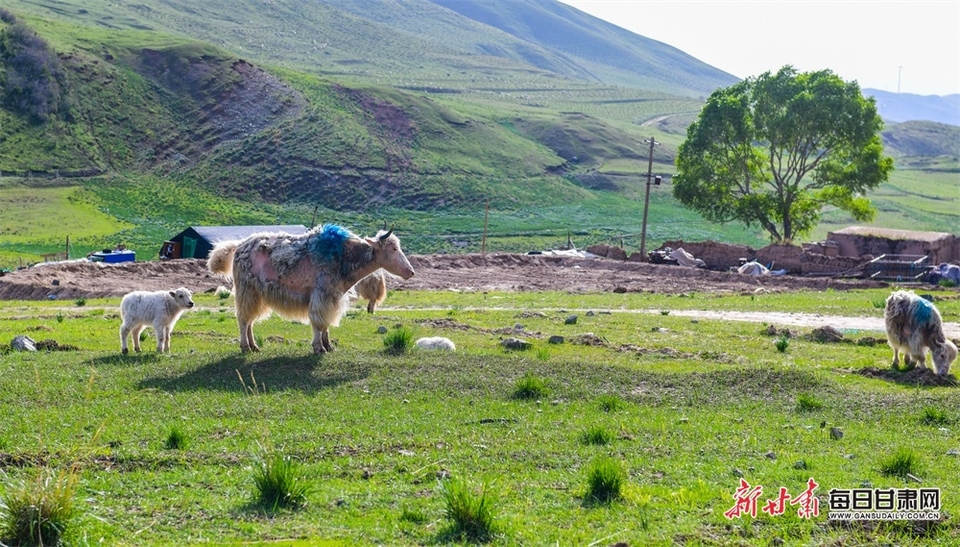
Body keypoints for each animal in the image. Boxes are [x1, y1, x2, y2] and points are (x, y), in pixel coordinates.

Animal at [208, 224, 414, 356]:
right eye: (394, 248)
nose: (410, 272)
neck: (344, 257)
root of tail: (239, 245)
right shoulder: (321, 295)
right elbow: (319, 322)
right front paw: (318, 348)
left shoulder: (332, 297)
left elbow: (327, 323)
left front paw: (329, 346)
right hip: (246, 289)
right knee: (244, 319)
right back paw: (245, 347)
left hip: (257, 293)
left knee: (250, 320)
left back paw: (255, 346)